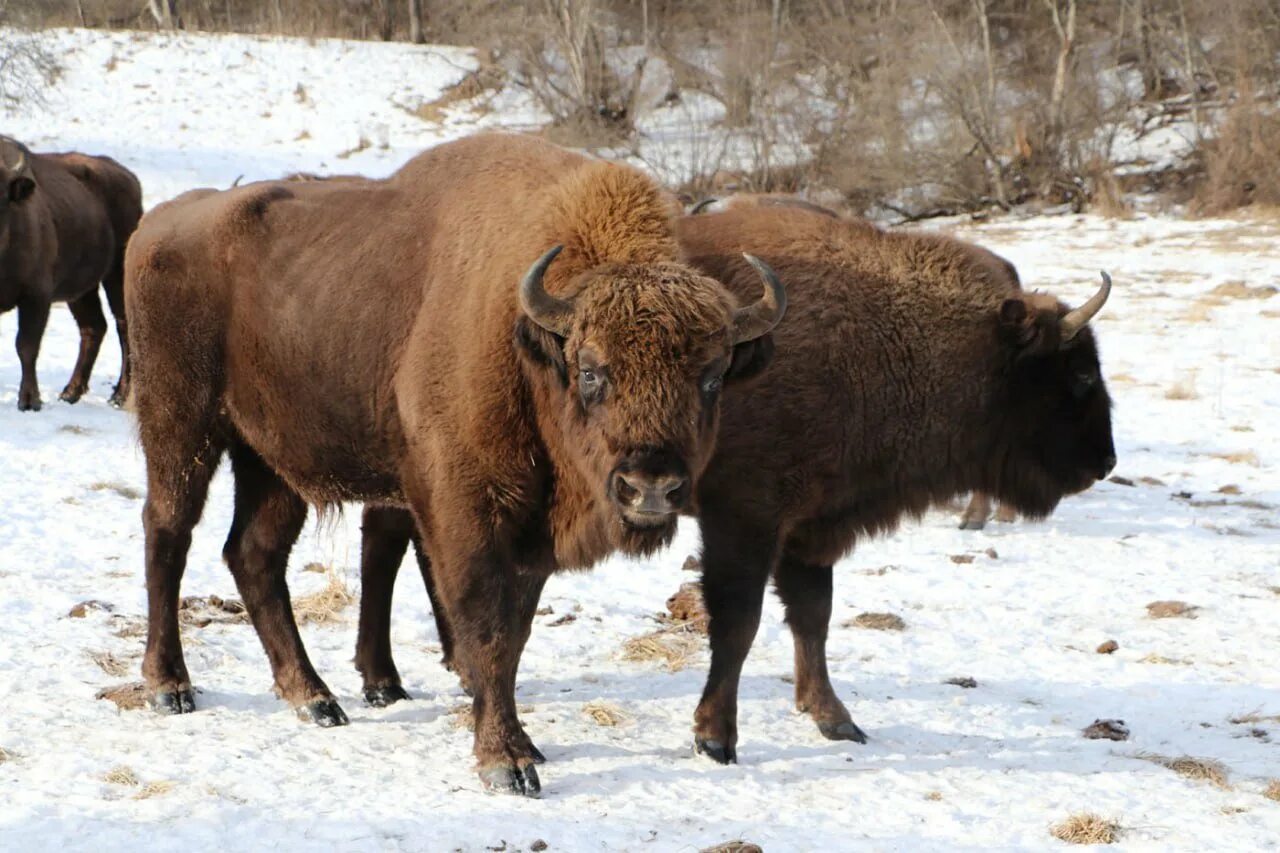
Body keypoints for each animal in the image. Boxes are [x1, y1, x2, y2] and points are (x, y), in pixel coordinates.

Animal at [124, 129, 778, 794]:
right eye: (592, 370)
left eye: (712, 378)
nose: (650, 488)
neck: (527, 343)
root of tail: (158, 224)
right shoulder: (464, 512)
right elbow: (483, 624)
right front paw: (505, 762)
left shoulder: (530, 538)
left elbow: (513, 634)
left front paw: (521, 745)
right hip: (182, 426)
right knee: (168, 531)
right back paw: (170, 687)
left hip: (273, 462)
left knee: (253, 555)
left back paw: (314, 698)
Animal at [348, 194, 1111, 763]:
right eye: (1075, 372)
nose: (1103, 461)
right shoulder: (745, 517)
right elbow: (739, 622)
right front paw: (716, 737)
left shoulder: (809, 527)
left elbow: (813, 617)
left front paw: (834, 718)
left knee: (393, 541)